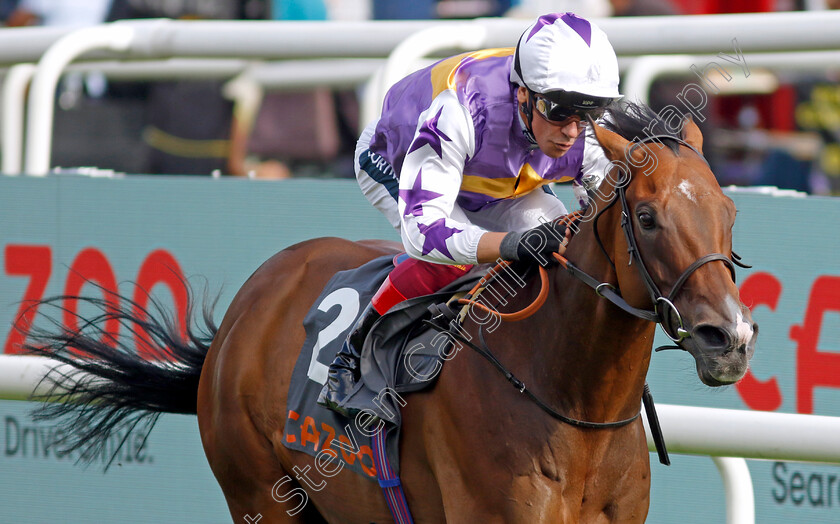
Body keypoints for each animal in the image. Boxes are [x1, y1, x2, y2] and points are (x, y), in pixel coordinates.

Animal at [24, 104, 756, 520]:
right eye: (647, 217)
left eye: (729, 211)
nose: (730, 337)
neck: (573, 407)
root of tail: (250, 303)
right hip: (259, 492)